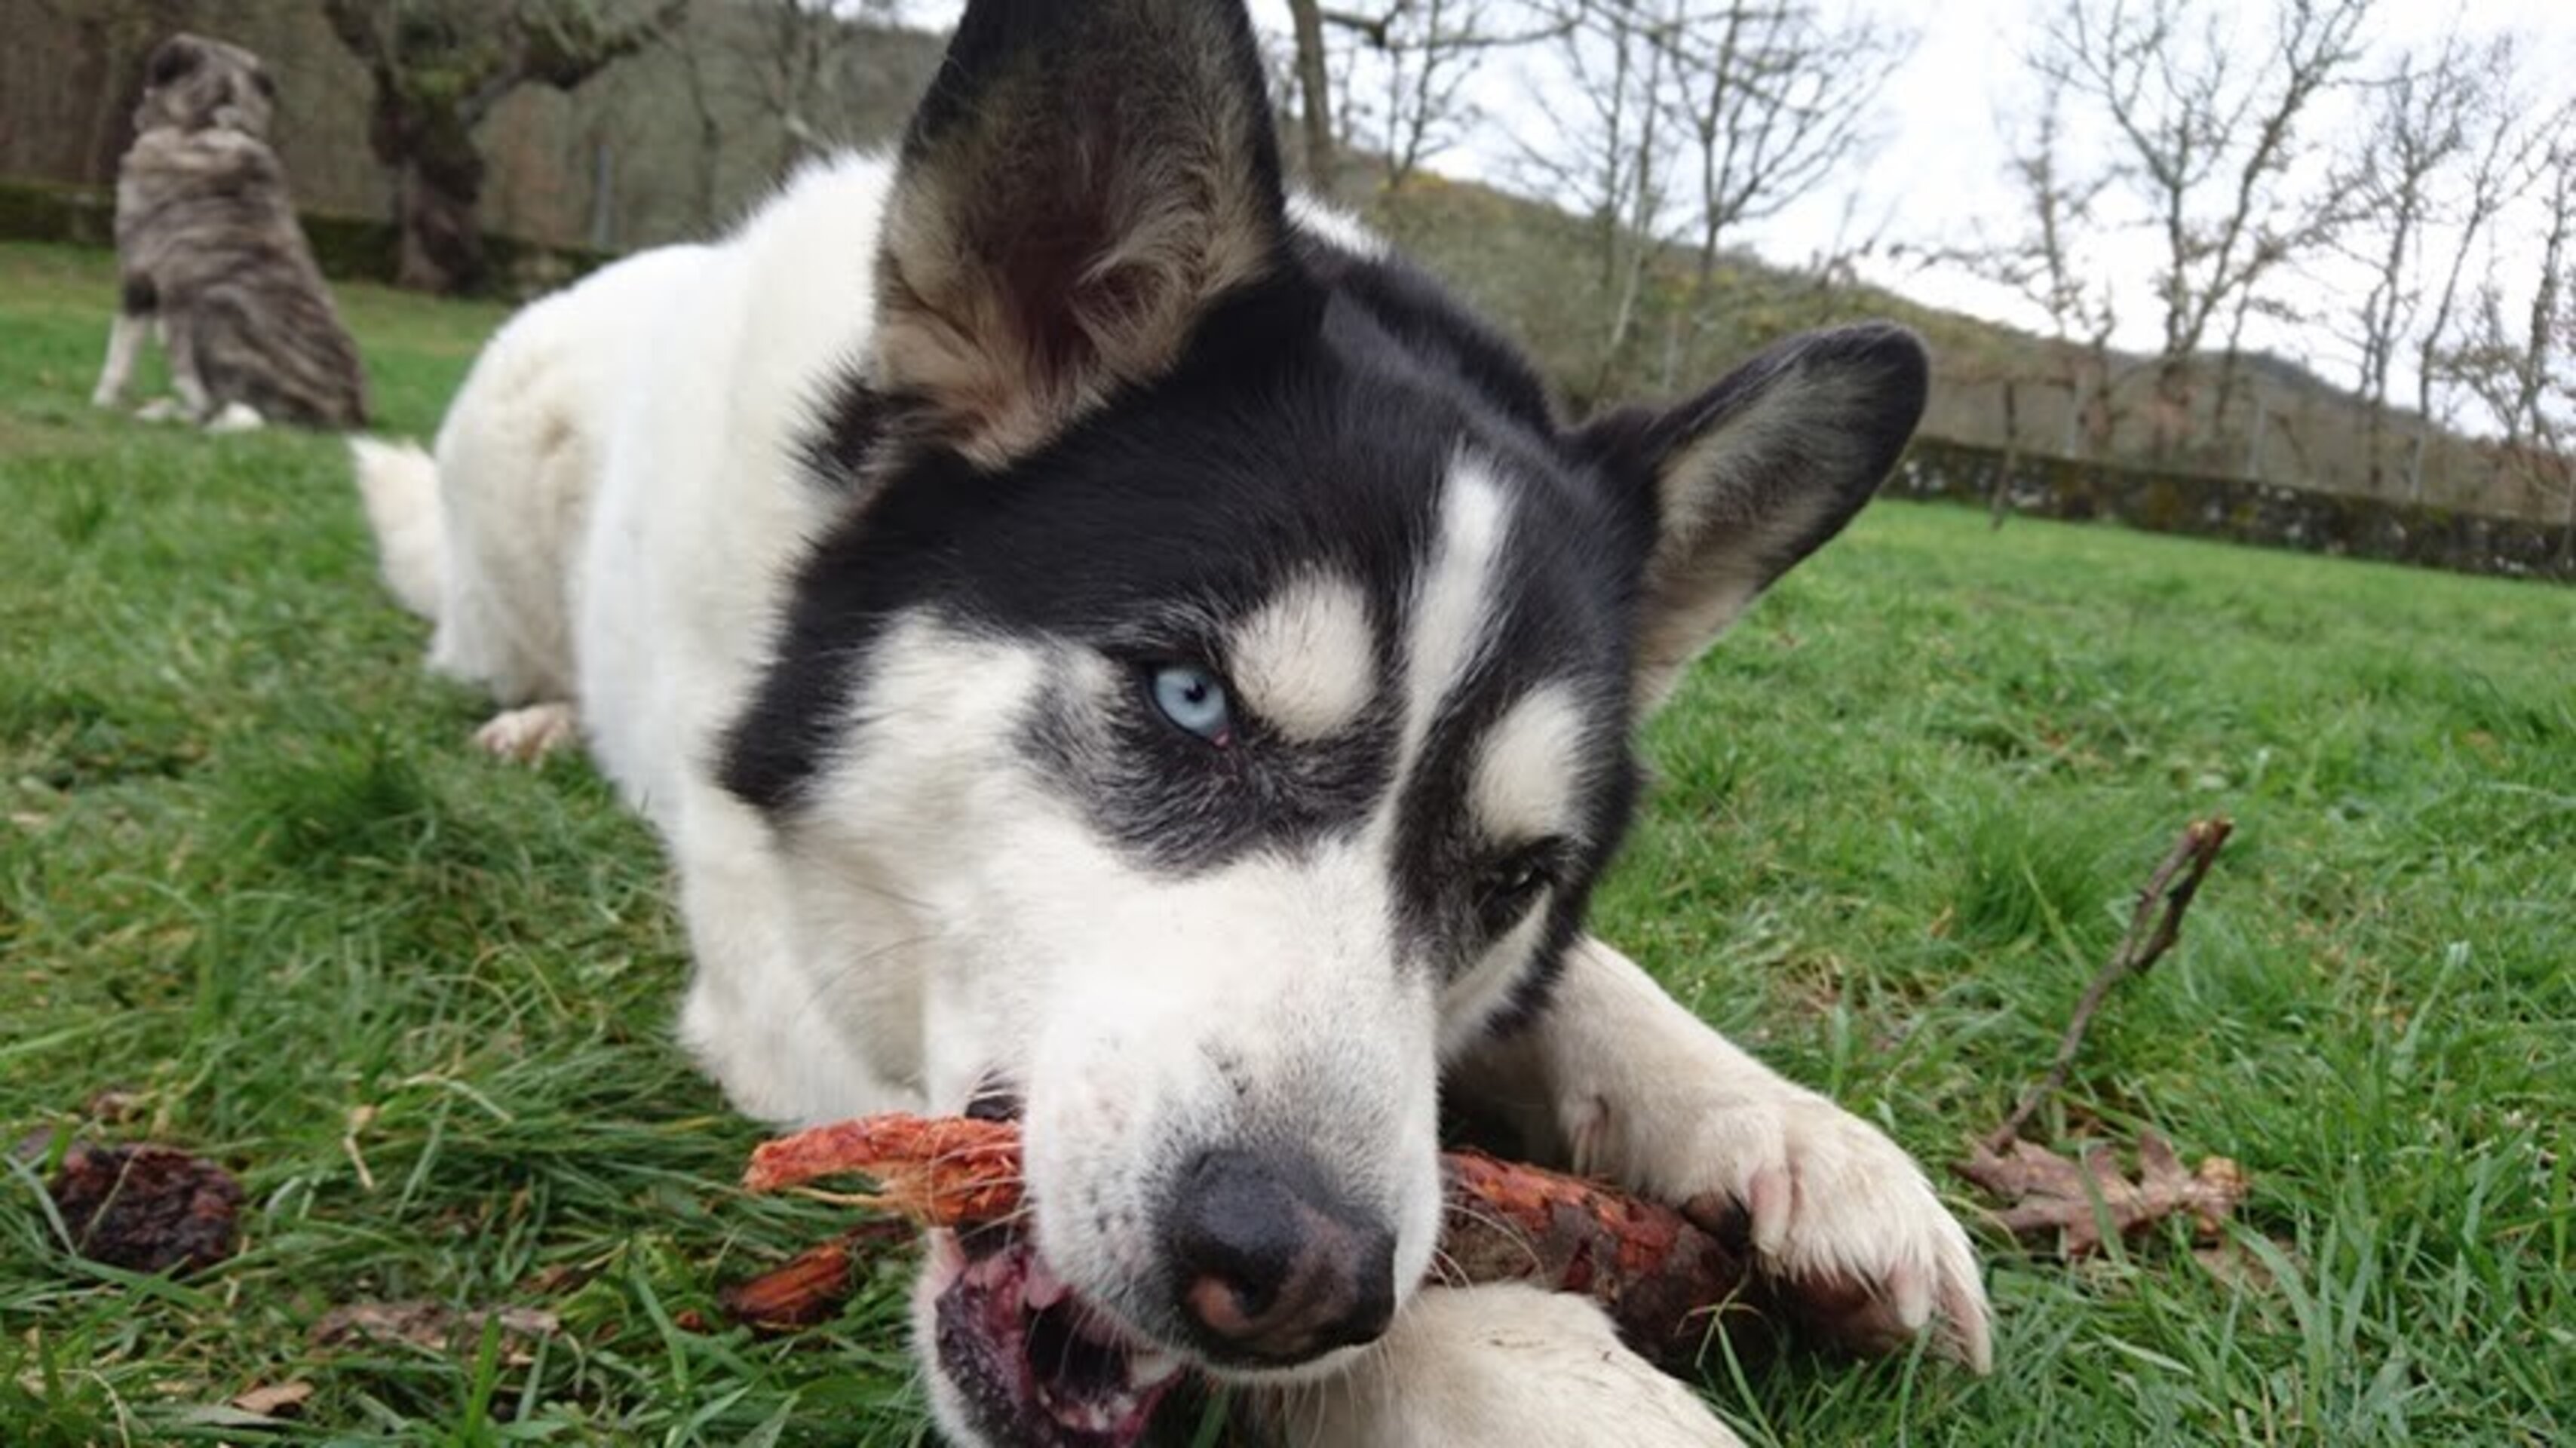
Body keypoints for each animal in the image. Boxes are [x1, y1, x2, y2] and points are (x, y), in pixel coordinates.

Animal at [91, 32, 368, 428]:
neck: (212, 124)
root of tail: (346, 416)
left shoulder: (138, 278)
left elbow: (119, 353)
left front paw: (101, 402)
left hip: (216, 309)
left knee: (227, 410)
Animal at [348, 5, 1989, 1432]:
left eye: (1517, 878)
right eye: (1191, 702)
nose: (1303, 1276)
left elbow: (1597, 985)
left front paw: (1799, 1139)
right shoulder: (770, 955)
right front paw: (1523, 1374)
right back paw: (534, 724)